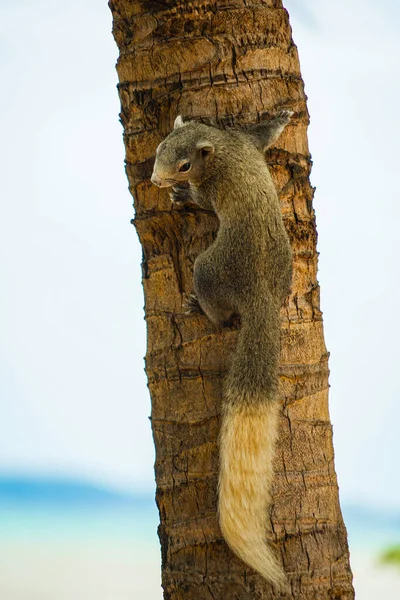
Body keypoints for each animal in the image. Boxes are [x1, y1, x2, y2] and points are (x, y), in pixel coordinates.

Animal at [150, 110, 294, 588]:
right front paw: (283, 116)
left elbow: (200, 201)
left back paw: (199, 307)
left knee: (218, 310)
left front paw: (181, 195)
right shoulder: (248, 141)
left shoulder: (213, 186)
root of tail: (264, 298)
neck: (221, 147)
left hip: (208, 269)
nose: (154, 180)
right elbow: (266, 135)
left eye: (183, 166)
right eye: (158, 148)